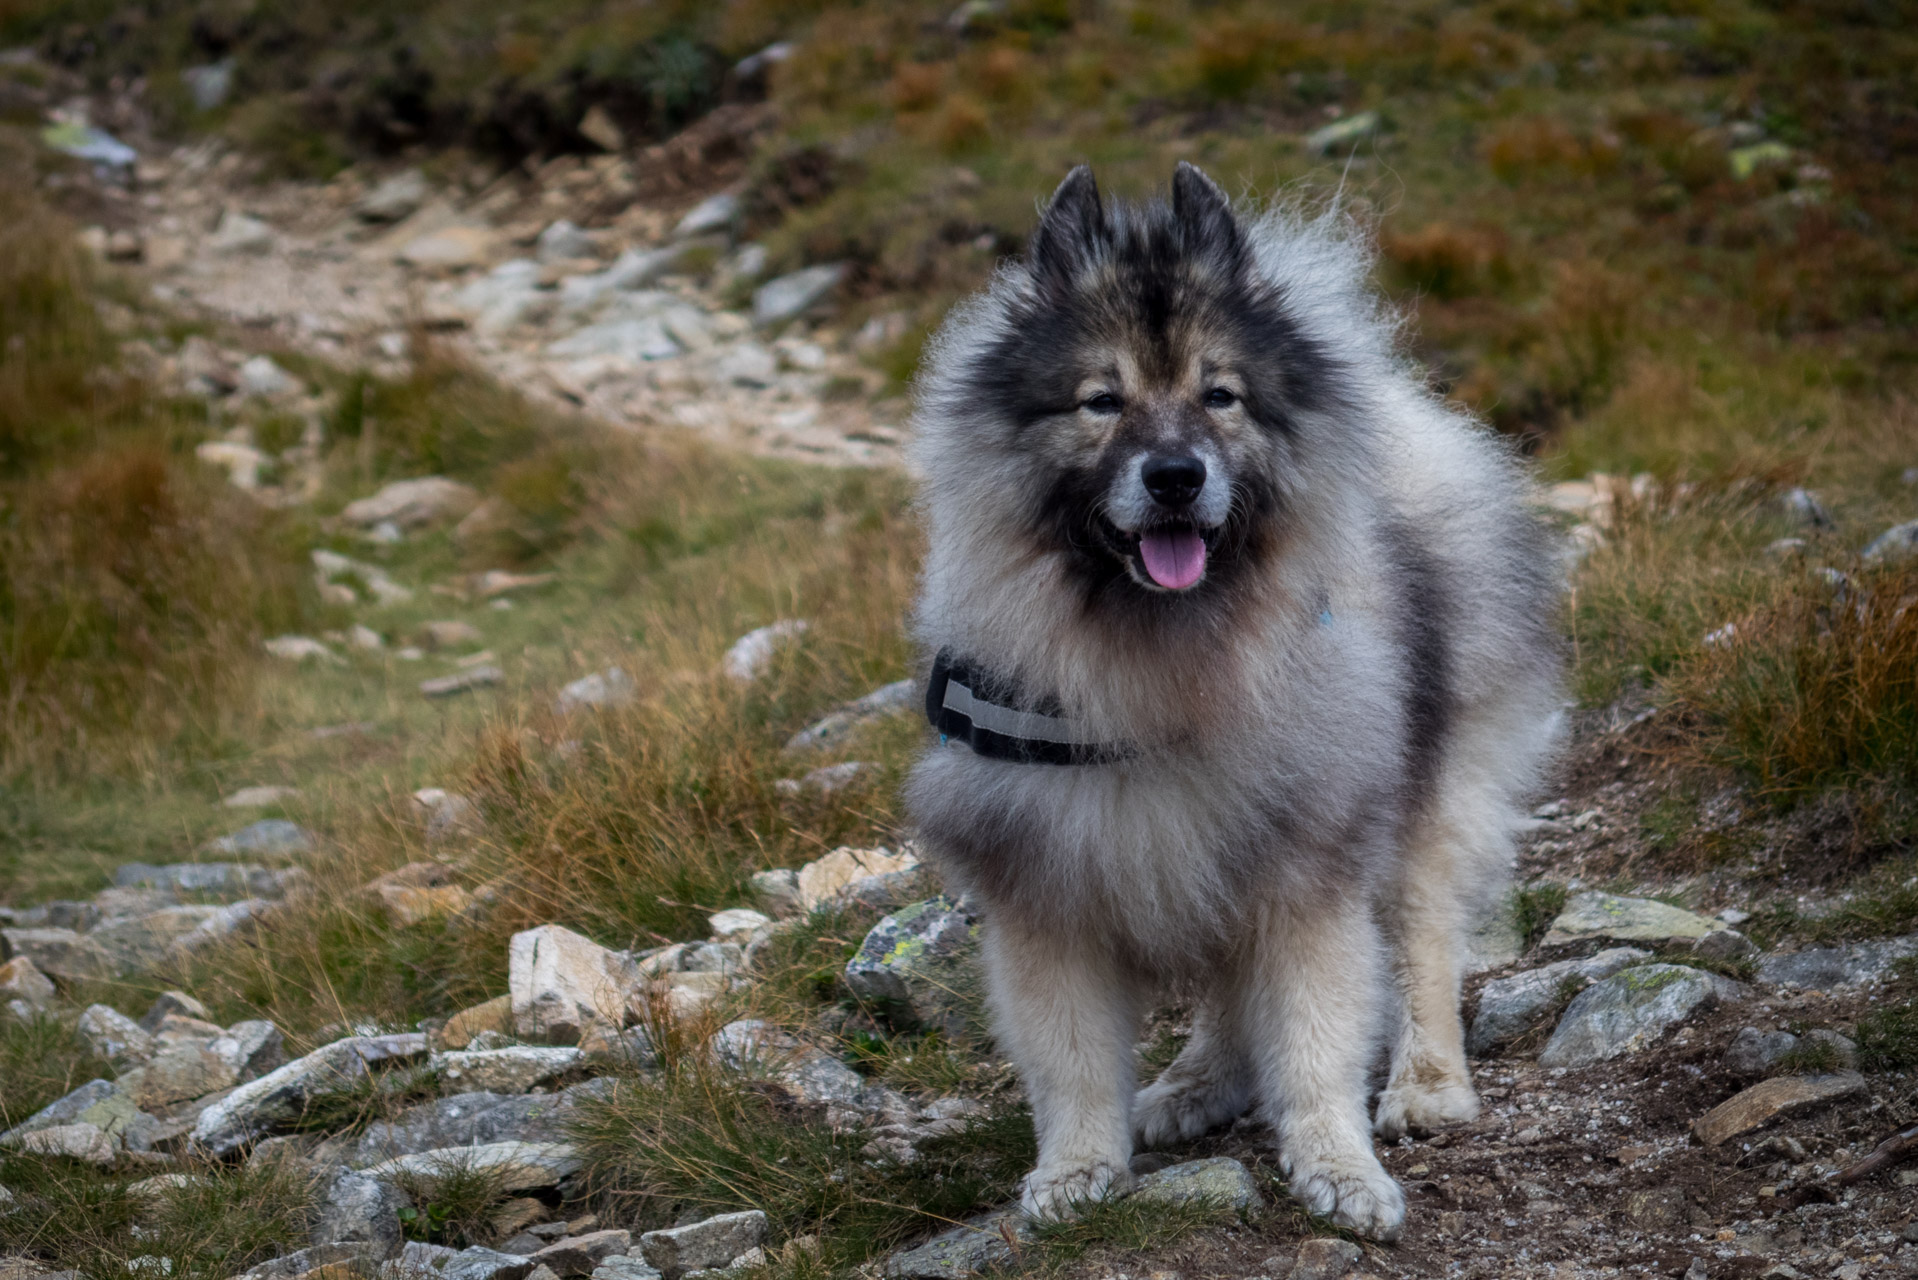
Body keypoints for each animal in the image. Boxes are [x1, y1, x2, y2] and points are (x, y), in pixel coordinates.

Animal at [897, 163, 1557, 1243]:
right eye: (1101, 400)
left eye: (1220, 396)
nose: (1176, 475)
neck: (1160, 660)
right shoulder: (1050, 892)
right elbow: (1073, 1062)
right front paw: (1076, 1169)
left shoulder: (1307, 870)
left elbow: (1317, 1039)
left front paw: (1340, 1167)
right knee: (1221, 987)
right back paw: (1196, 1082)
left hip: (1425, 798)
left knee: (1422, 942)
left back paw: (1426, 1083)